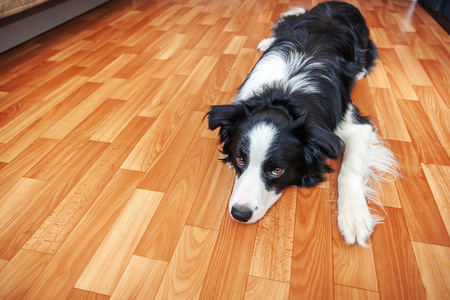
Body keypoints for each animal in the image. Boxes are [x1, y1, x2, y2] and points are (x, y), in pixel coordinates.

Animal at [206, 1, 396, 247]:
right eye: (240, 159)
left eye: (277, 170)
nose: (239, 214)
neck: (285, 93)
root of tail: (340, 3)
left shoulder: (355, 125)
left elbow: (350, 169)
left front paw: (354, 216)